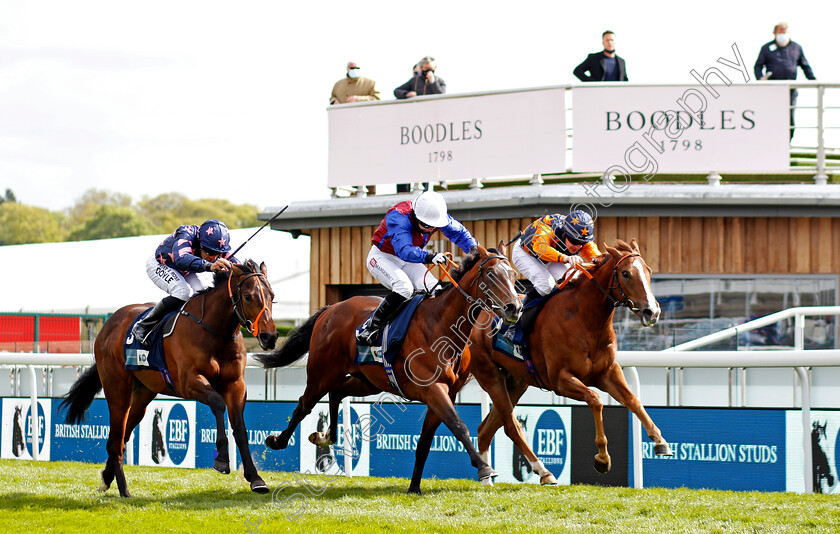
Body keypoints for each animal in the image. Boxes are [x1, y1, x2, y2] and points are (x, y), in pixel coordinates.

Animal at [57, 260, 278, 498]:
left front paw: (255, 478)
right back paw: (124, 491)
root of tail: (109, 324)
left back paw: (107, 479)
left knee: (121, 438)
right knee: (116, 442)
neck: (214, 330)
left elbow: (240, 429)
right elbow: (218, 403)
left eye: (272, 296)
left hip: (142, 395)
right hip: (117, 391)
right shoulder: (188, 382)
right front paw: (221, 459)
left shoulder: (236, 385)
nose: (270, 337)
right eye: (248, 296)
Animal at [253, 245, 520, 496]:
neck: (441, 325)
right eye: (491, 274)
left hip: (367, 381)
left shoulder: (447, 392)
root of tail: (330, 309)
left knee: (337, 392)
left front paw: (414, 487)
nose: (514, 308)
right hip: (322, 373)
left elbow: (425, 442)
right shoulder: (433, 389)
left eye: (512, 274)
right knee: (303, 405)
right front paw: (484, 467)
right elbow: (458, 425)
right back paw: (277, 440)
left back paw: (325, 436)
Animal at [470, 240, 672, 486]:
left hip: (516, 383)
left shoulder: (608, 372)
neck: (586, 320)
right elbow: (595, 399)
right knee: (511, 426)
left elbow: (633, 400)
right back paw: (542, 472)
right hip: (490, 376)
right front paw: (602, 459)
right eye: (626, 273)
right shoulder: (560, 379)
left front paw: (660, 442)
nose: (652, 312)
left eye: (649, 271)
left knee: (486, 429)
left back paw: (487, 480)